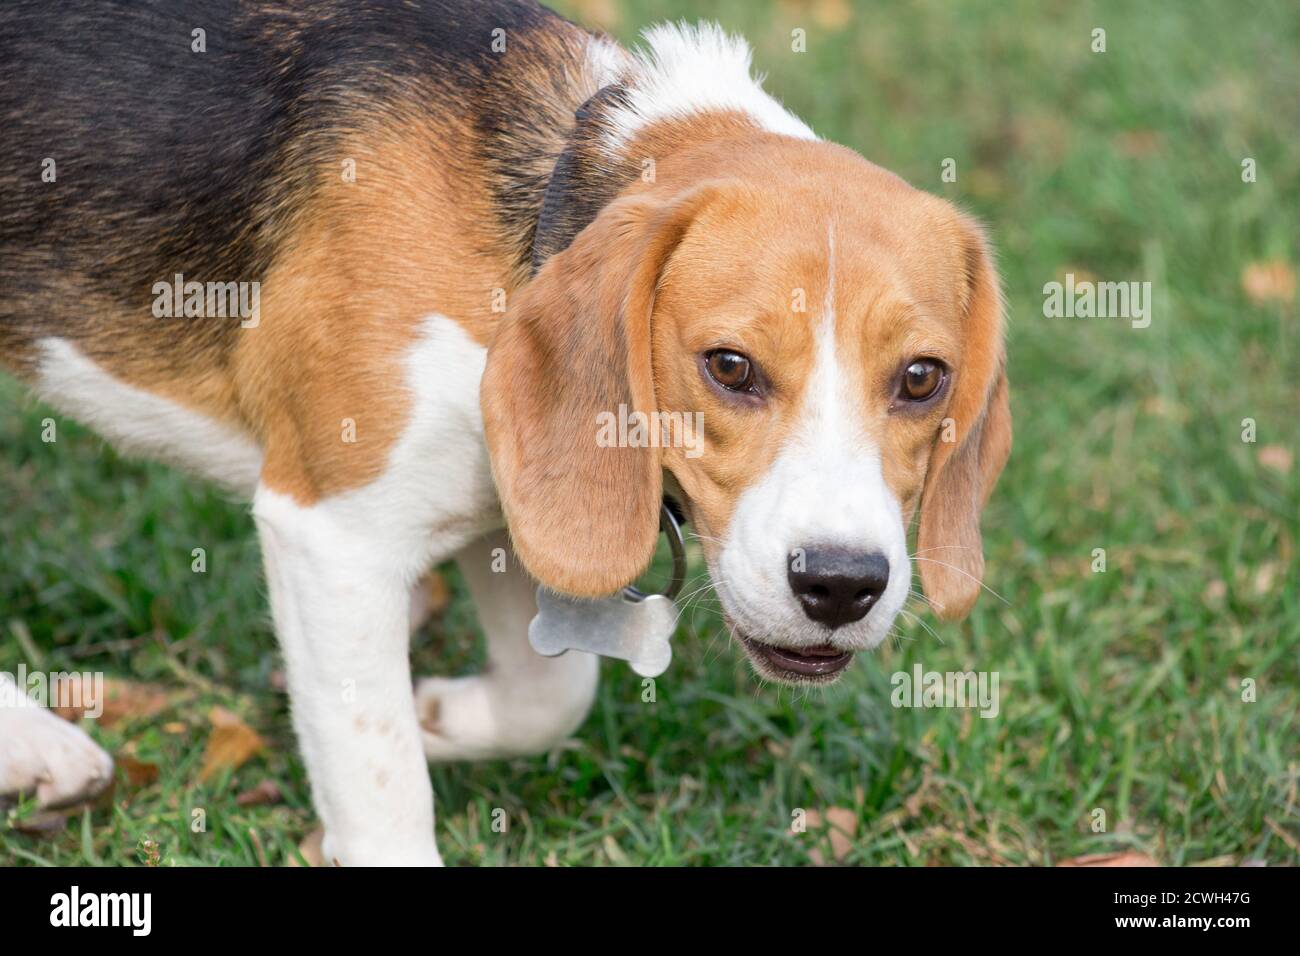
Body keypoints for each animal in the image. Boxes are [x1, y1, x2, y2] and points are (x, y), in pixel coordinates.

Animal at [0, 0, 1003, 868]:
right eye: (729, 366)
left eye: (923, 378)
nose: (841, 584)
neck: (544, 195)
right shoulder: (334, 537)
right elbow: (382, 781)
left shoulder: (510, 499)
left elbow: (550, 694)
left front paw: (442, 715)